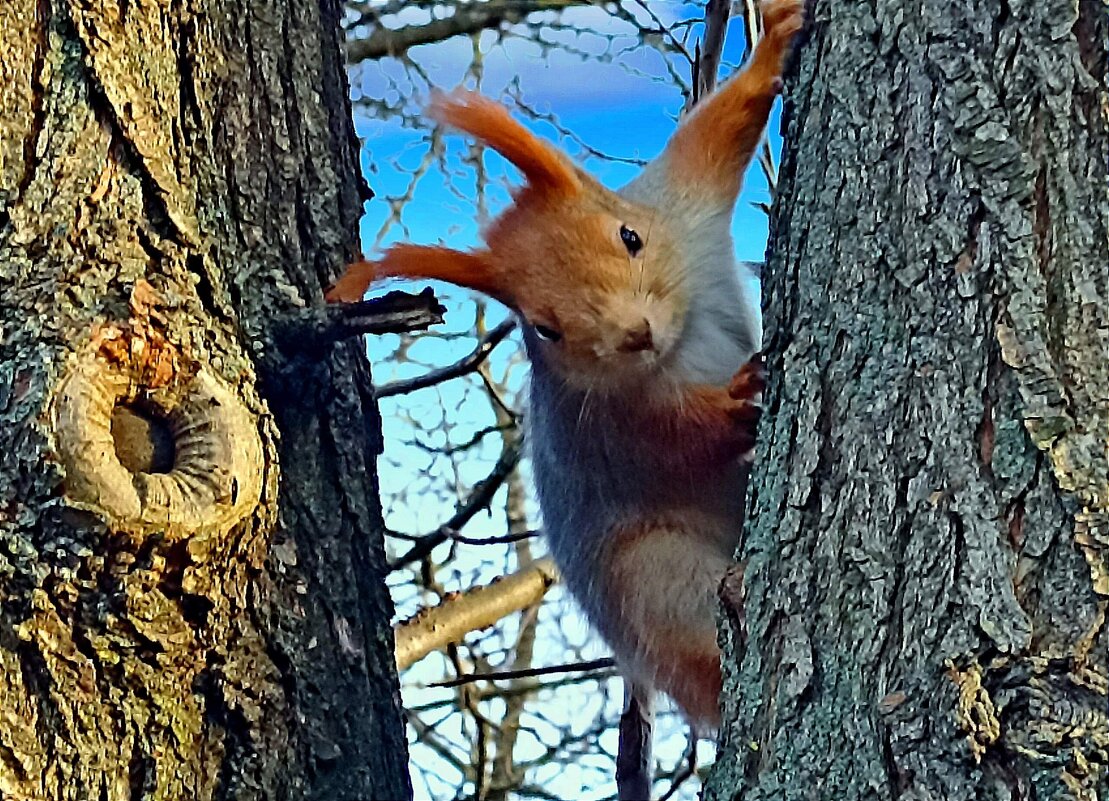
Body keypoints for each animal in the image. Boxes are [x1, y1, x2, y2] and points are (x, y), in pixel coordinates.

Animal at [328, 0, 807, 732]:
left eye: (629, 235)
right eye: (546, 328)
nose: (634, 334)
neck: (679, 340)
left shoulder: (679, 203)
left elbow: (716, 133)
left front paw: (776, 38)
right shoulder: (603, 423)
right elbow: (674, 441)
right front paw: (733, 399)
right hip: (651, 580)